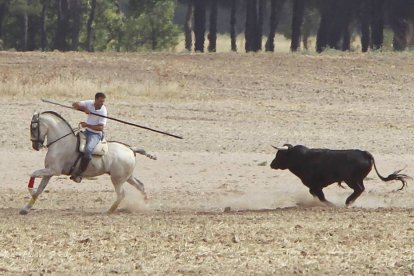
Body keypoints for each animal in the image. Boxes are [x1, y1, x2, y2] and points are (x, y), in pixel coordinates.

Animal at [19, 111, 155, 215]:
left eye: (34, 127)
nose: (35, 146)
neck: (61, 142)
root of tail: (131, 149)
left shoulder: (53, 171)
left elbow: (33, 174)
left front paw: (31, 191)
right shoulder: (49, 172)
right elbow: (40, 189)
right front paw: (26, 209)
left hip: (117, 179)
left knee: (121, 194)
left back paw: (108, 211)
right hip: (127, 177)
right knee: (140, 186)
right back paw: (145, 205)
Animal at [270, 144, 410, 205]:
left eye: (279, 155)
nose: (272, 164)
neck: (301, 158)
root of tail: (365, 153)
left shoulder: (316, 185)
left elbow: (321, 196)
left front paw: (330, 204)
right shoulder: (314, 186)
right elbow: (316, 194)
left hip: (351, 180)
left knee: (359, 189)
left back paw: (347, 202)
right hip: (357, 179)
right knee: (361, 189)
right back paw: (349, 202)